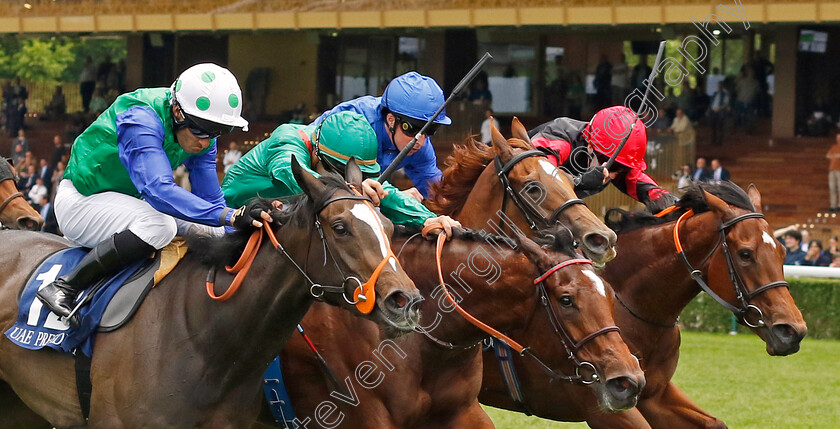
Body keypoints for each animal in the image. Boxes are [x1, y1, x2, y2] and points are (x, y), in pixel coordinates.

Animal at [480, 181, 808, 428]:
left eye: (782, 251)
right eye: (745, 254)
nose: (793, 330)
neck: (634, 311)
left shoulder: (654, 393)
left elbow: (716, 423)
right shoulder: (604, 408)